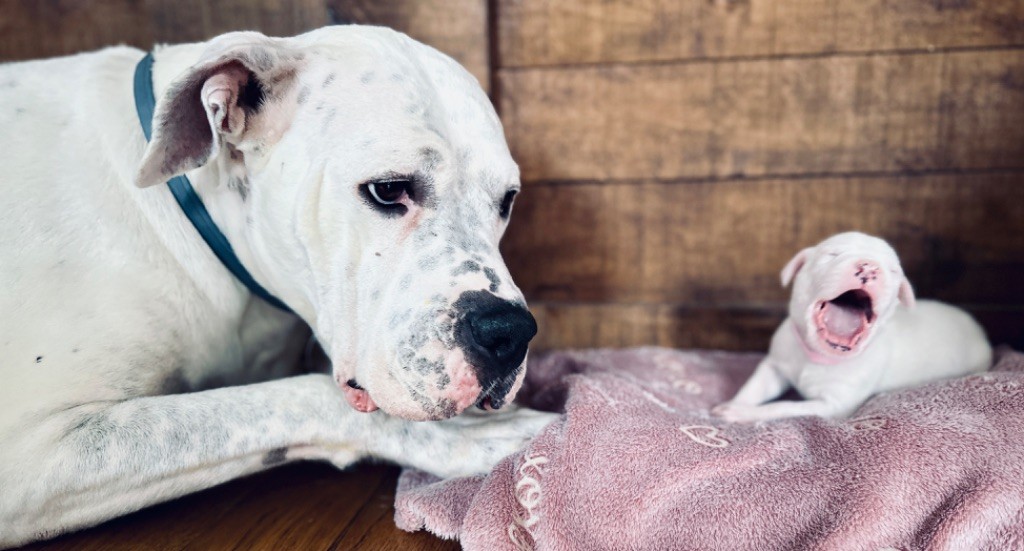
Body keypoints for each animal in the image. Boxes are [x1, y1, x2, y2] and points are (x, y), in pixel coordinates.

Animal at [0, 27, 559, 547]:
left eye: (507, 200)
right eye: (388, 190)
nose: (509, 332)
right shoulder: (34, 453)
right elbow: (299, 395)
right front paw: (469, 436)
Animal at [713, 231, 992, 423]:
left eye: (893, 270)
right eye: (832, 254)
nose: (868, 266)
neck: (816, 356)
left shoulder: (832, 406)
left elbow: (784, 407)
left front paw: (741, 413)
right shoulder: (776, 363)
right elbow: (756, 385)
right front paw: (734, 404)